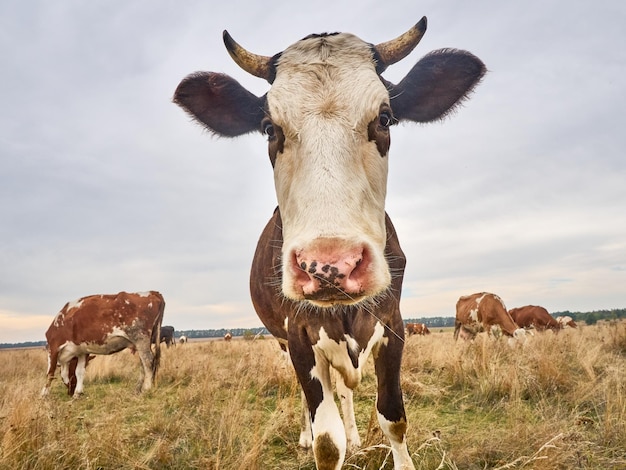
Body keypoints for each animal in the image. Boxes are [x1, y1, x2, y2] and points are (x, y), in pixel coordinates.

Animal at [173, 17, 486, 470]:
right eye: (270, 128)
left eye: (385, 118)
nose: (330, 266)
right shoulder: (299, 335)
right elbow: (326, 439)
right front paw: (317, 440)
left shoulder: (394, 324)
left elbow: (393, 418)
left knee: (345, 390)